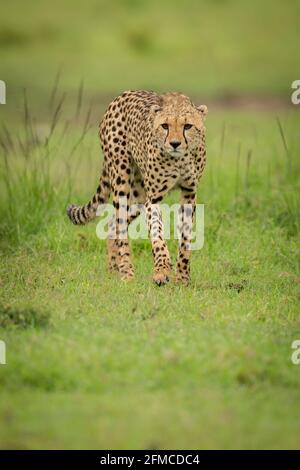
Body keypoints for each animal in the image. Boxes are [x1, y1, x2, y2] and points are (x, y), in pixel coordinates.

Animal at [67, 90, 207, 284]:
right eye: (164, 126)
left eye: (187, 126)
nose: (174, 143)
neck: (180, 159)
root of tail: (121, 95)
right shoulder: (153, 199)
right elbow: (157, 234)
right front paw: (162, 271)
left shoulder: (189, 193)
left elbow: (185, 239)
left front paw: (182, 277)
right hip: (121, 178)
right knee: (120, 225)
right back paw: (127, 272)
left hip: (139, 195)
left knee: (113, 222)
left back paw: (113, 269)